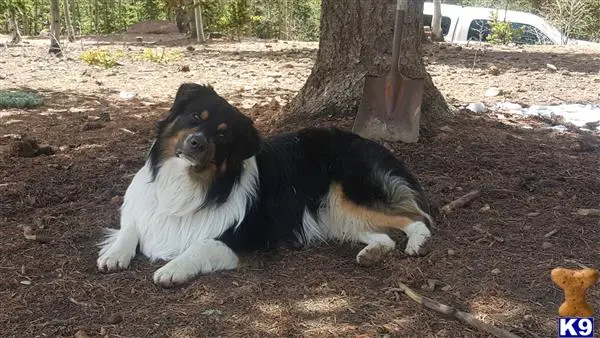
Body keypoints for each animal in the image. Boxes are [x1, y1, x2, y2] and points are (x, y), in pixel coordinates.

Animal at [99, 83, 436, 286]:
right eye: (195, 116)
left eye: (223, 134)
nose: (196, 143)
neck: (188, 181)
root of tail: (372, 143)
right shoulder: (142, 211)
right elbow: (130, 228)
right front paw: (114, 253)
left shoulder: (241, 240)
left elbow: (200, 245)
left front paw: (172, 269)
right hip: (332, 213)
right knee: (385, 236)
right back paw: (373, 253)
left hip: (348, 196)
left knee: (416, 217)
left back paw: (417, 243)